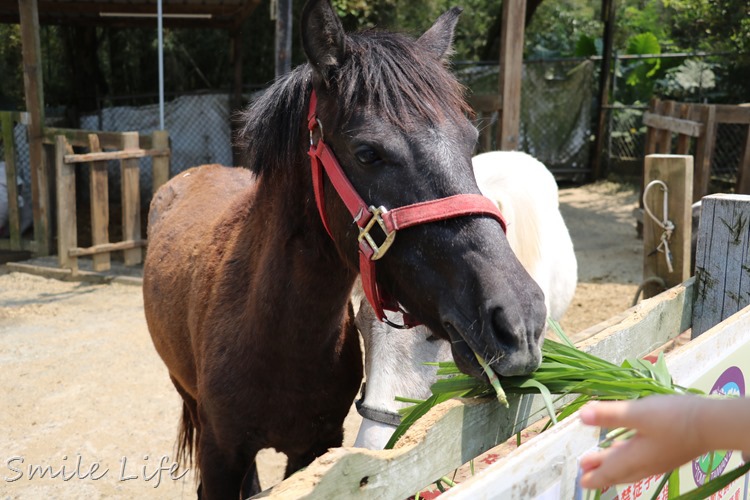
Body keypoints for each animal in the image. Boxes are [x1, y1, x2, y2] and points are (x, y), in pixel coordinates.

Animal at [142, 1, 548, 498]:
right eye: (368, 152)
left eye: (470, 140)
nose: (520, 321)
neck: (274, 337)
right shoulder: (221, 454)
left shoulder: (315, 448)